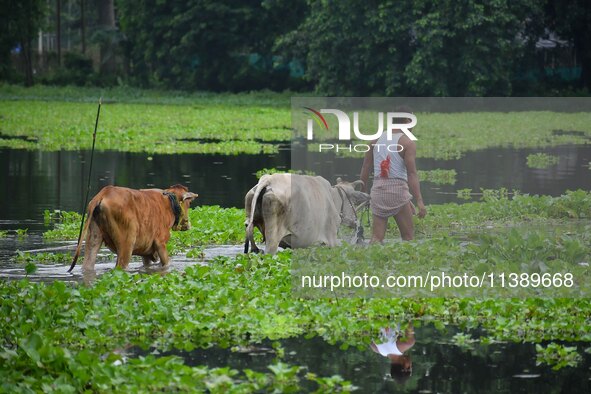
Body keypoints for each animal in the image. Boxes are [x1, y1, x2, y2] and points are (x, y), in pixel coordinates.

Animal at [69, 185, 199, 270]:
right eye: (190, 203)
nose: (188, 224)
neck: (169, 203)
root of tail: (104, 192)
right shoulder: (160, 243)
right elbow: (167, 263)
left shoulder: (146, 251)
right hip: (127, 243)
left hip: (93, 236)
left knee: (88, 264)